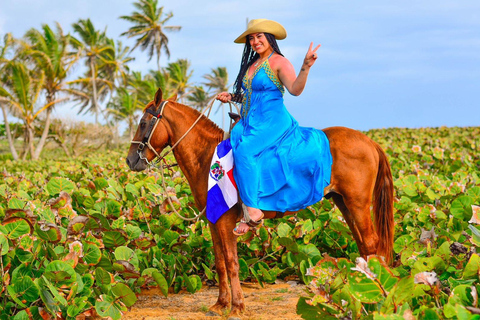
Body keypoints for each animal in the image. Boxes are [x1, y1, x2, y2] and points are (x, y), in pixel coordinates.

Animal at [126, 89, 394, 318]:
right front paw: (220, 304)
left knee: (371, 244)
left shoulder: (225, 221)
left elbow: (232, 263)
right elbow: (220, 263)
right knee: (363, 247)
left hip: (358, 204)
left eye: (143, 123)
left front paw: (237, 307)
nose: (130, 160)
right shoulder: (213, 220)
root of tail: (370, 142)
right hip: (344, 203)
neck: (207, 156)